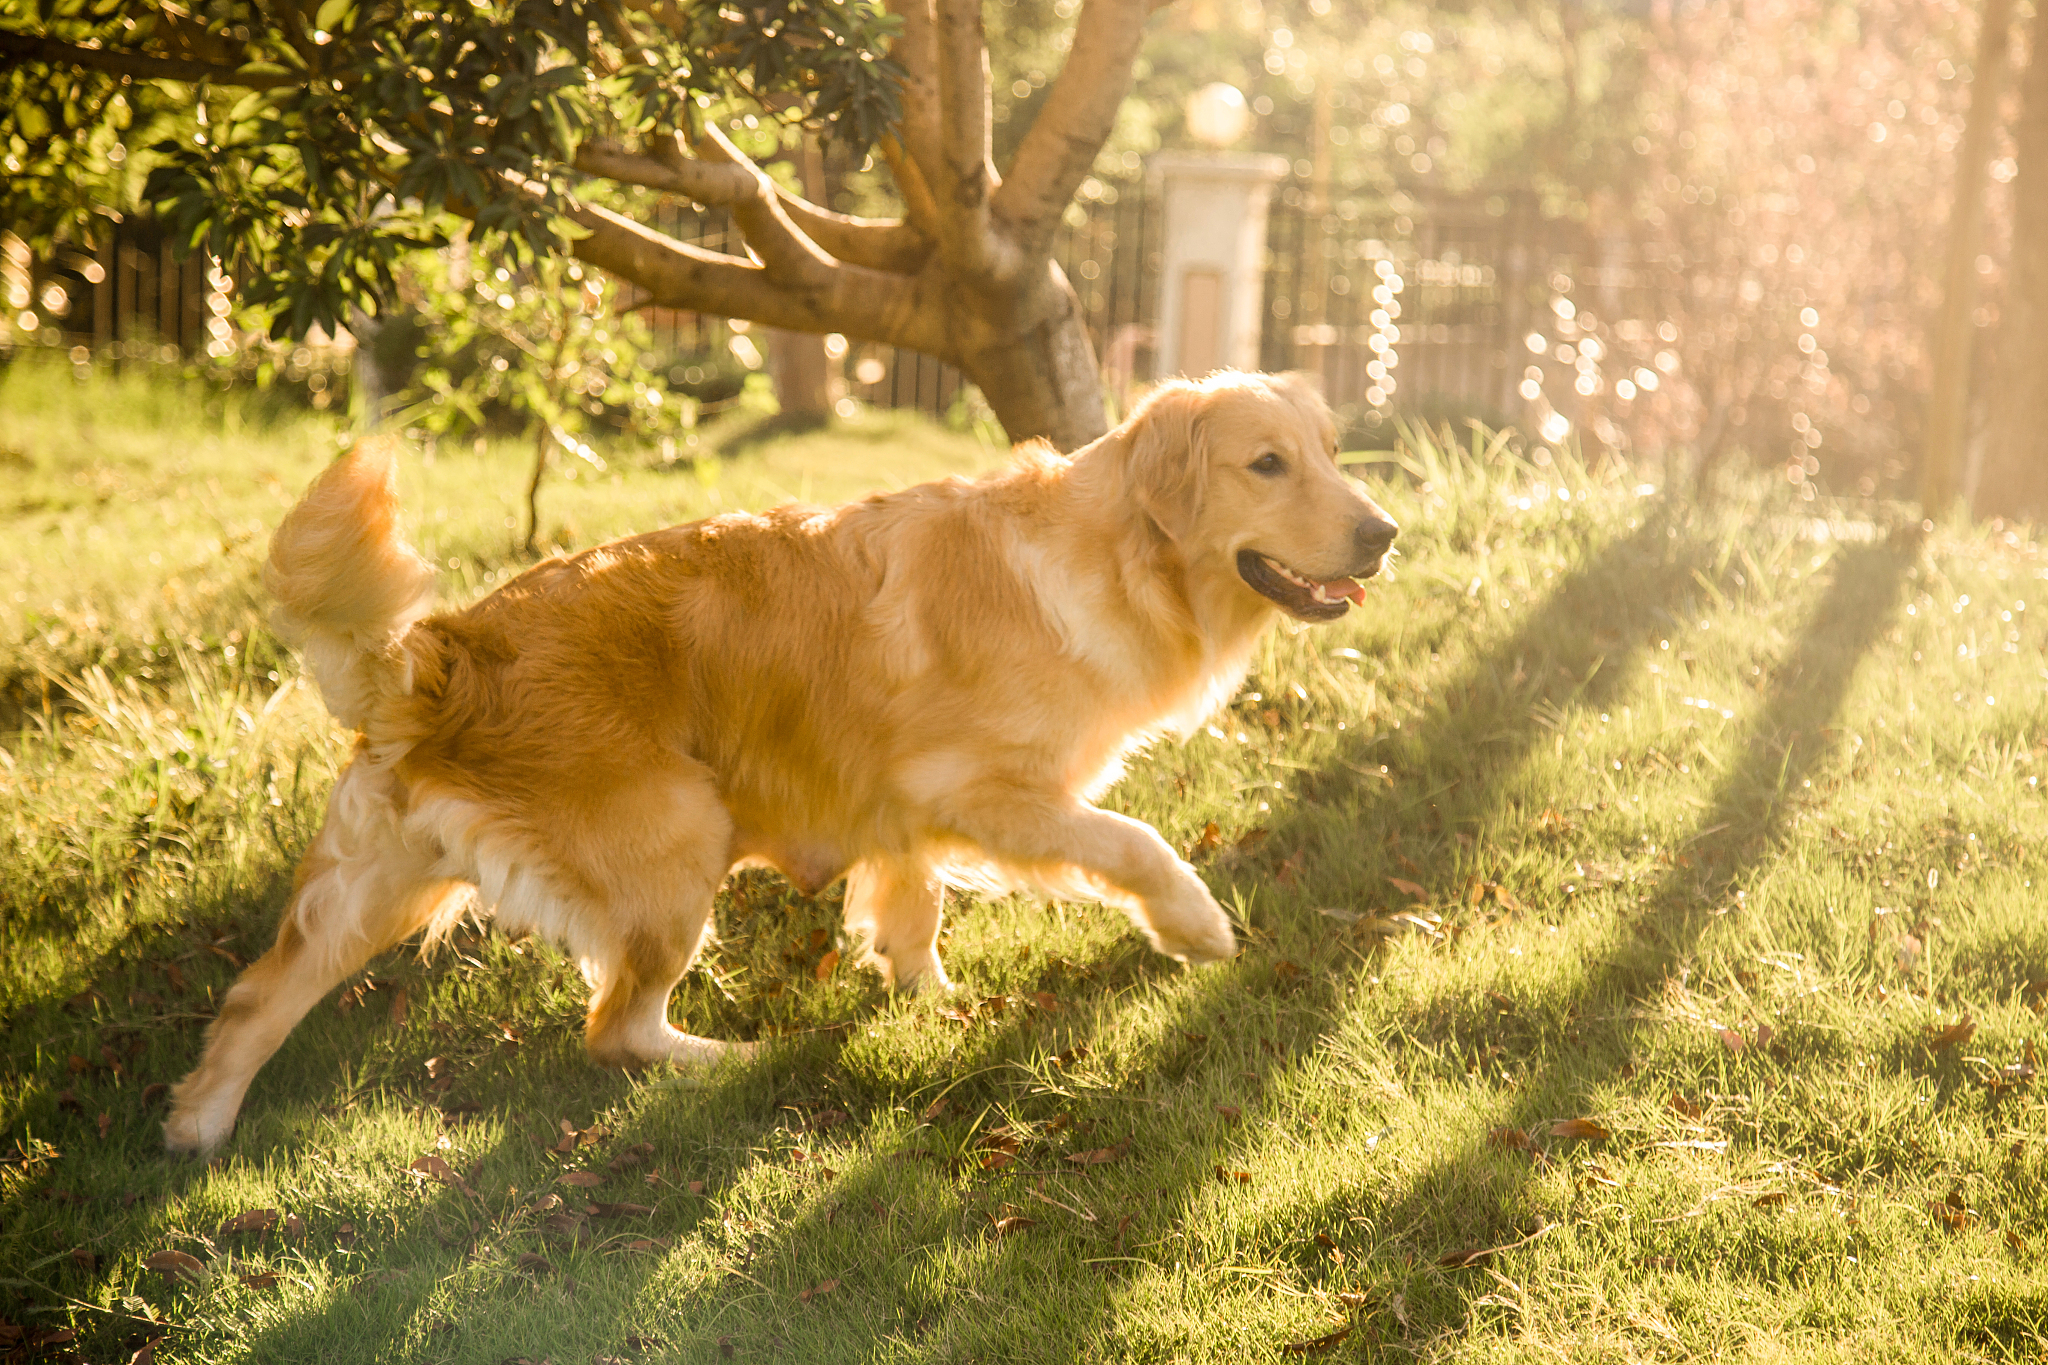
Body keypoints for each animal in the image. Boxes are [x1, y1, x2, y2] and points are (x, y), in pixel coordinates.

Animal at [167, 366, 1400, 1154]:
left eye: (1334, 454)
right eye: (1266, 464)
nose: (1384, 530)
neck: (1111, 553)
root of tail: (445, 655)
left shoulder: (901, 807)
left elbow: (910, 907)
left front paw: (926, 998)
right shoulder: (989, 790)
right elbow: (1135, 842)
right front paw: (1196, 928)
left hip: (376, 880)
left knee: (254, 997)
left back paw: (196, 1129)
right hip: (680, 839)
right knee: (613, 1029)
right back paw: (723, 1059)